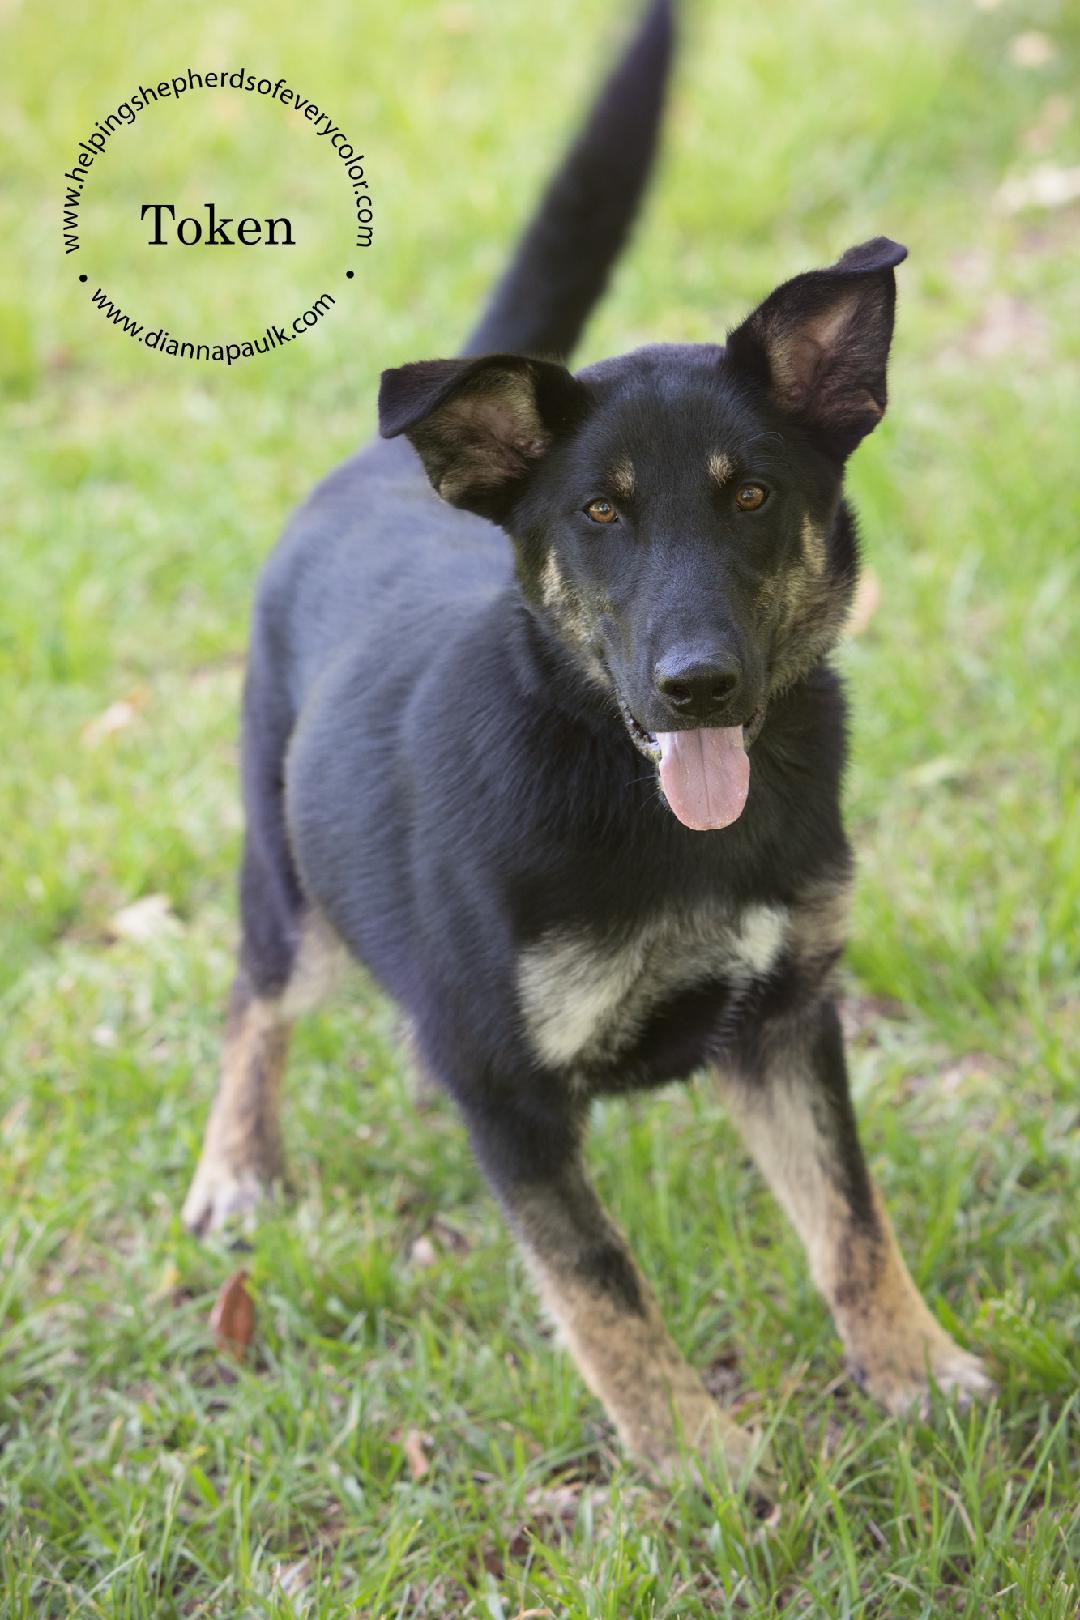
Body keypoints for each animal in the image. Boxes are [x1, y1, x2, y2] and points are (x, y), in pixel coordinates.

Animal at [181, 0, 990, 1490]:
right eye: (602, 515)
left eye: (753, 496)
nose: (699, 688)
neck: (639, 801)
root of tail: (385, 462)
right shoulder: (500, 1087)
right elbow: (599, 1280)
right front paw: (697, 1460)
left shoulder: (785, 1019)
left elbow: (852, 1221)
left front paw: (915, 1371)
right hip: (285, 868)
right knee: (254, 999)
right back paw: (237, 1164)